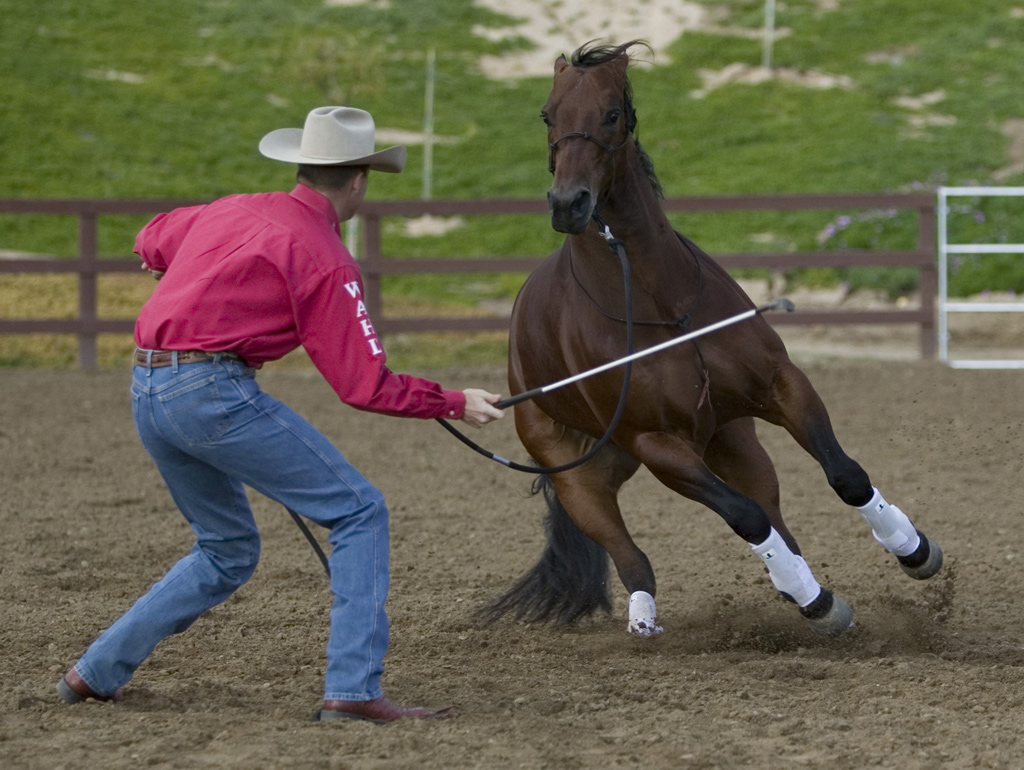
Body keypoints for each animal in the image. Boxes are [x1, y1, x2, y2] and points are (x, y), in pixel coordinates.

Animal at [480, 40, 943, 638]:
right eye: (547, 115)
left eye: (611, 113)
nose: (568, 203)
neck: (663, 302)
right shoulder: (657, 445)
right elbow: (744, 516)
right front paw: (817, 600)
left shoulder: (781, 386)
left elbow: (845, 475)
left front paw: (914, 549)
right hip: (582, 482)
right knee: (637, 559)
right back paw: (664, 619)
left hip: (731, 441)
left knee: (775, 515)